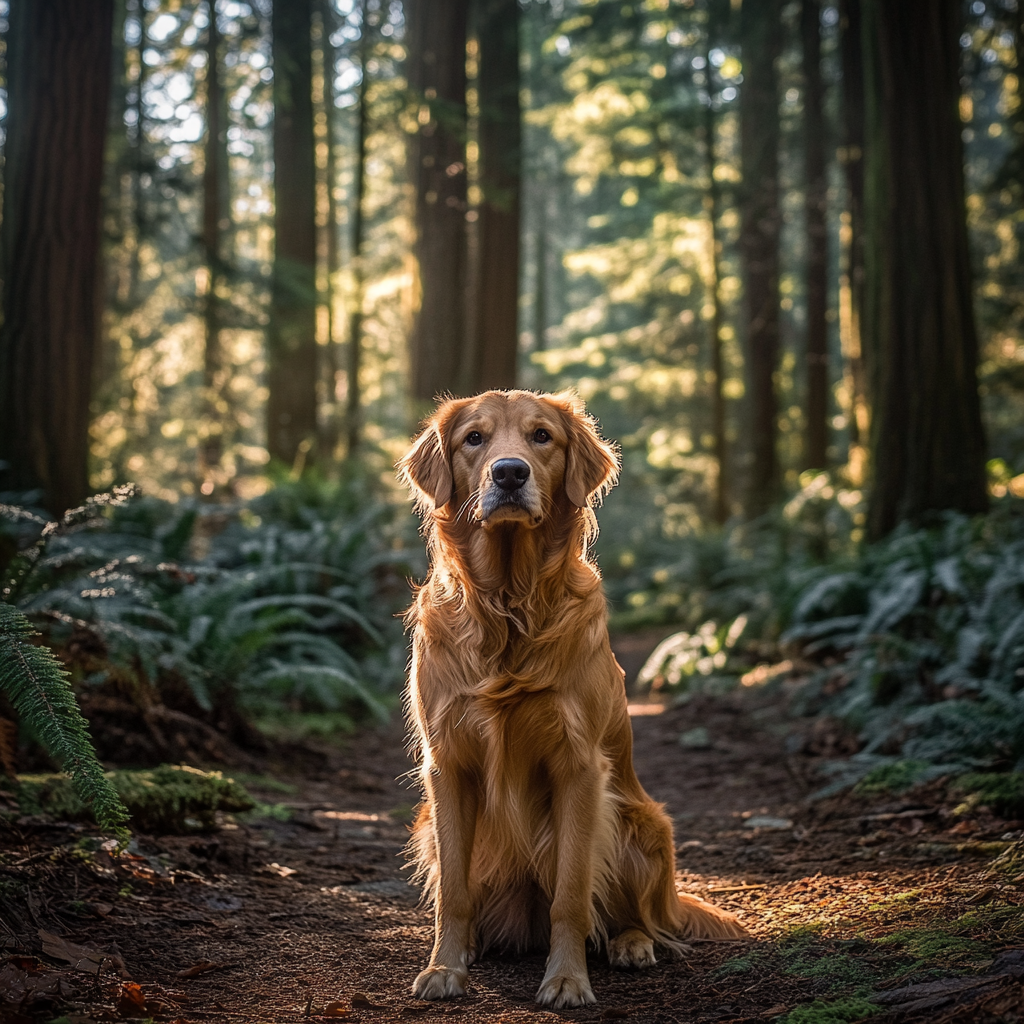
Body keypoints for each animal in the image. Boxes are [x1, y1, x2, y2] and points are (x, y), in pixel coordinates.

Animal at [397, 389, 745, 1007]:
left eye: (542, 436)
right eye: (474, 439)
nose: (509, 473)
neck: (509, 607)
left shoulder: (578, 767)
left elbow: (572, 894)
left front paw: (566, 979)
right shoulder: (447, 766)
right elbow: (454, 895)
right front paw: (444, 967)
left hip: (636, 821)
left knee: (638, 915)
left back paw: (632, 943)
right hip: (430, 828)